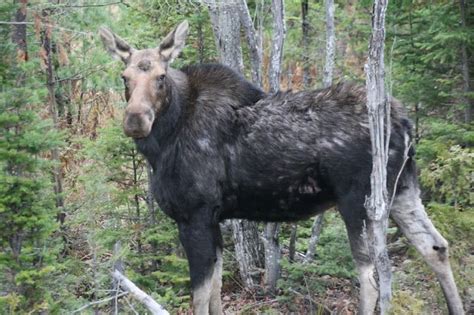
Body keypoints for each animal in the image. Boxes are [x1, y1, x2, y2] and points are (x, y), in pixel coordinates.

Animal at [99, 21, 462, 314]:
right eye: (124, 77)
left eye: (160, 77)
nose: (135, 120)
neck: (163, 143)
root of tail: (404, 123)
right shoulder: (213, 218)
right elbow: (215, 291)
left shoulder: (194, 214)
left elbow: (200, 296)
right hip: (401, 189)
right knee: (436, 246)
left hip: (358, 199)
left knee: (372, 276)